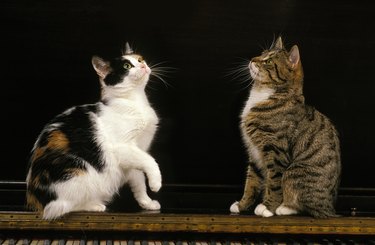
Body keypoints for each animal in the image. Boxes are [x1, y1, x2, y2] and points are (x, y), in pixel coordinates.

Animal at [25, 43, 162, 219]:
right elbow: (150, 161)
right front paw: (156, 183)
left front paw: (147, 203)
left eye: (139, 59)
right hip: (78, 173)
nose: (143, 65)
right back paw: (95, 205)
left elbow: (138, 181)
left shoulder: (136, 153)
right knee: (61, 207)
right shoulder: (122, 147)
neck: (134, 101)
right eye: (127, 66)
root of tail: (35, 201)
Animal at [231, 36, 342, 218]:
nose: (252, 59)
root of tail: (329, 208)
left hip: (294, 171)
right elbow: (251, 182)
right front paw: (241, 205)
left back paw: (283, 207)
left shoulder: (276, 151)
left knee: (299, 199)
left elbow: (274, 183)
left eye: (268, 61)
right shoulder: (254, 151)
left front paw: (267, 208)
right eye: (262, 53)